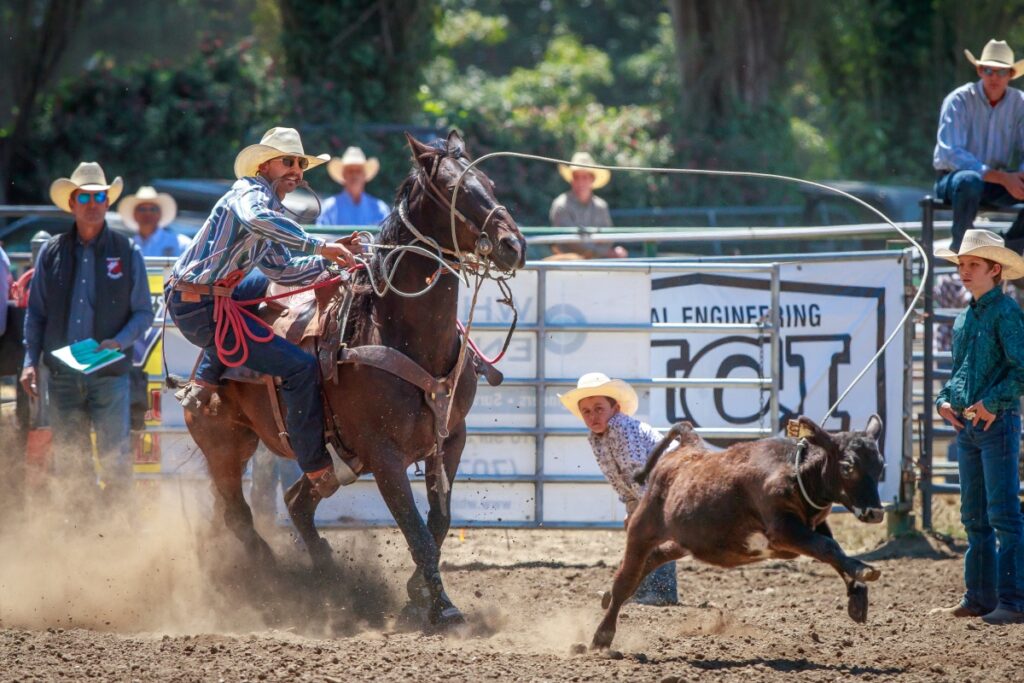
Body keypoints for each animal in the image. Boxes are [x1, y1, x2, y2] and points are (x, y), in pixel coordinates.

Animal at [182, 131, 528, 626]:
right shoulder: (384, 456)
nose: (513, 245)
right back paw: (274, 577)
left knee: (296, 502)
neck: (404, 335)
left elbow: (438, 523)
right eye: (453, 188)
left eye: (490, 182)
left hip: (327, 459)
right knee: (238, 515)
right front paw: (442, 608)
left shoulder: (450, 440)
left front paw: (416, 593)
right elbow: (417, 531)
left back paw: (329, 577)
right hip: (226, 446)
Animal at [593, 413, 888, 651]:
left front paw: (857, 595)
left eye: (880, 466)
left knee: (653, 559)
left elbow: (832, 548)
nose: (875, 512)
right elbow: (828, 547)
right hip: (642, 527)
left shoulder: (813, 525)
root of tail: (687, 449)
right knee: (626, 579)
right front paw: (863, 570)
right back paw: (602, 635)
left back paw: (607, 598)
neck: (797, 473)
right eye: (848, 466)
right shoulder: (783, 530)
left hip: (685, 539)